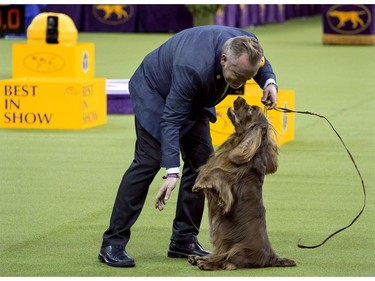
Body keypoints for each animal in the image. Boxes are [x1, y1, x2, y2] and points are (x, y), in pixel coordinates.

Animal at [189, 95, 298, 270]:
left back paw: (205, 263)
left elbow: (216, 173)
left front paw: (200, 183)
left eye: (250, 109)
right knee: (221, 254)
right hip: (226, 243)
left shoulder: (230, 180)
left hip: (238, 249)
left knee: (227, 261)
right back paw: (198, 258)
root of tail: (272, 257)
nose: (239, 96)